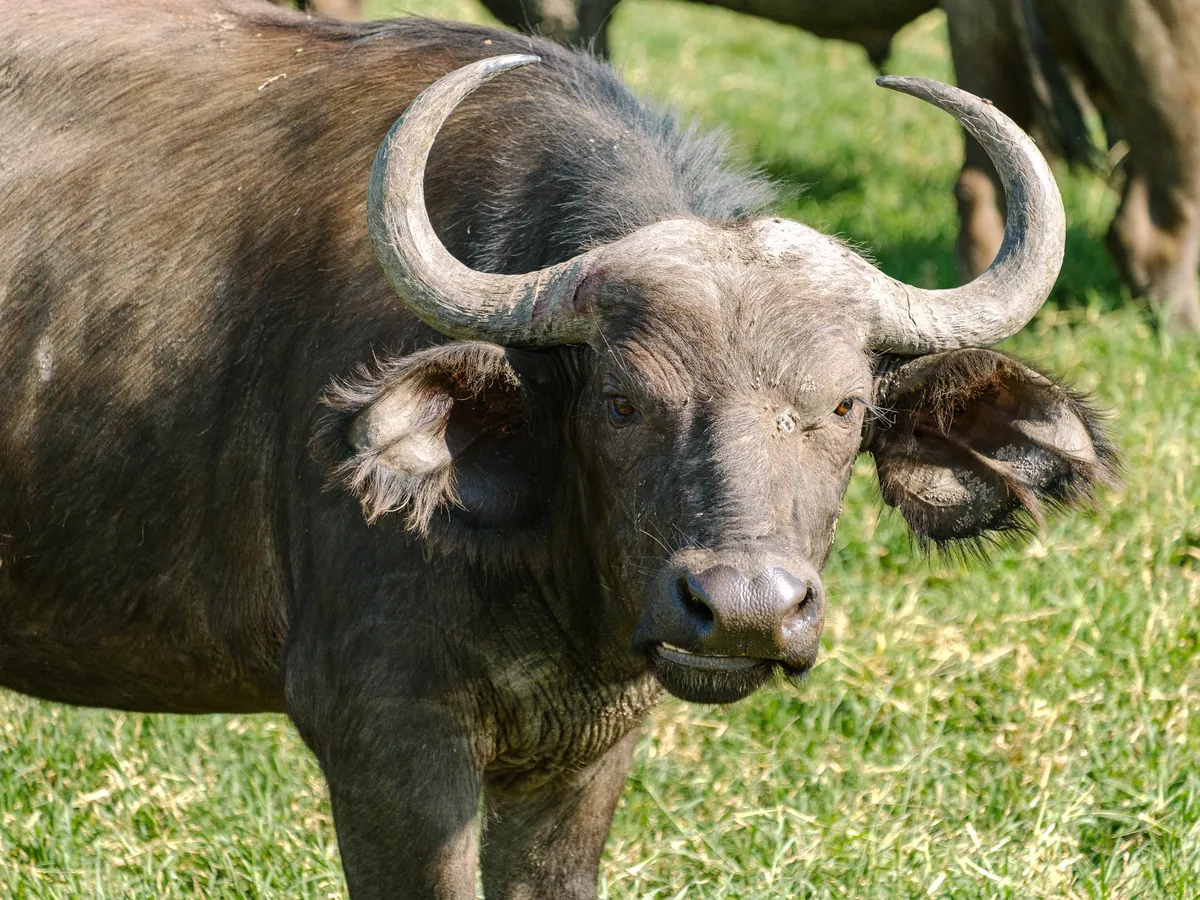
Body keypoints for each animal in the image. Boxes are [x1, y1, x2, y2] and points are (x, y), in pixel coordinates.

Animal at [2, 0, 1113, 897]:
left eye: (842, 406)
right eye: (621, 403)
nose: (747, 610)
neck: (549, 571)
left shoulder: (583, 755)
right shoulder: (383, 734)